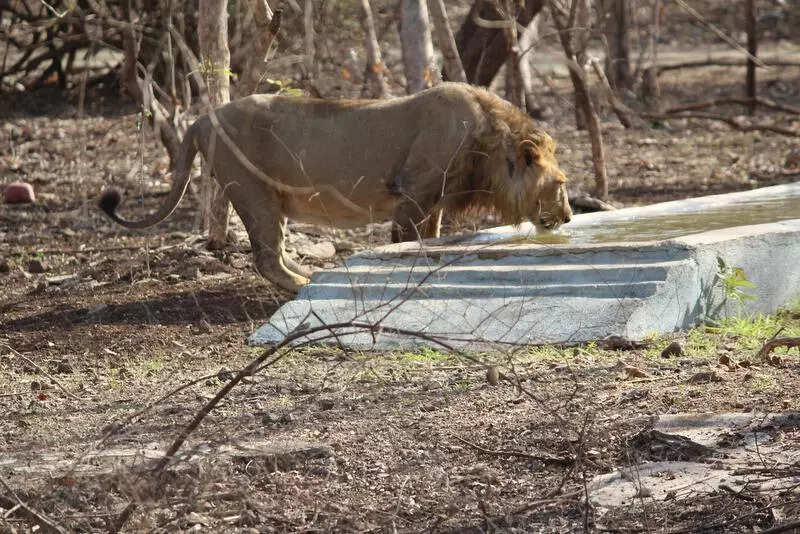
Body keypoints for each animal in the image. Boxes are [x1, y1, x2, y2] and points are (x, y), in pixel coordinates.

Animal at [100, 82, 572, 291]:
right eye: (562, 183)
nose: (568, 217)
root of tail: (201, 118)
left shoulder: (434, 201)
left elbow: (432, 239)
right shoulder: (411, 195)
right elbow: (408, 243)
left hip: (270, 201)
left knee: (275, 253)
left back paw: (310, 275)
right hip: (253, 191)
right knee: (265, 259)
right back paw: (305, 285)